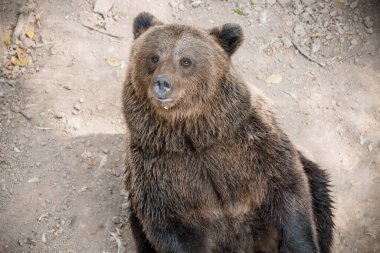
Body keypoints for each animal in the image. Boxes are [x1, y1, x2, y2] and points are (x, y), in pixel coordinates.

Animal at [121, 12, 332, 253]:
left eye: (186, 61)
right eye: (154, 57)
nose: (162, 83)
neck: (196, 138)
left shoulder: (253, 144)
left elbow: (288, 192)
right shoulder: (160, 171)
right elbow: (169, 226)